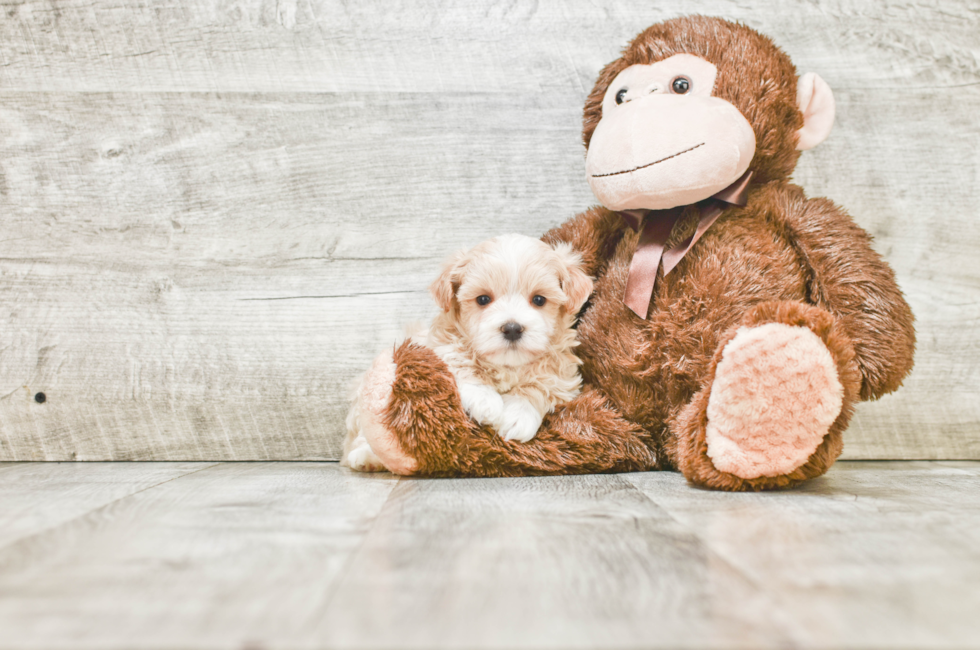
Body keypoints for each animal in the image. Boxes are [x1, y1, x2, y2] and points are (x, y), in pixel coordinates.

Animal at [342, 233, 588, 470]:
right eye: (483, 299)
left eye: (539, 300)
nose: (512, 328)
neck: (506, 365)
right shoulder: (438, 347)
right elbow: (459, 362)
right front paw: (485, 400)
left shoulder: (563, 370)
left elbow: (542, 383)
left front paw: (518, 414)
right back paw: (365, 457)